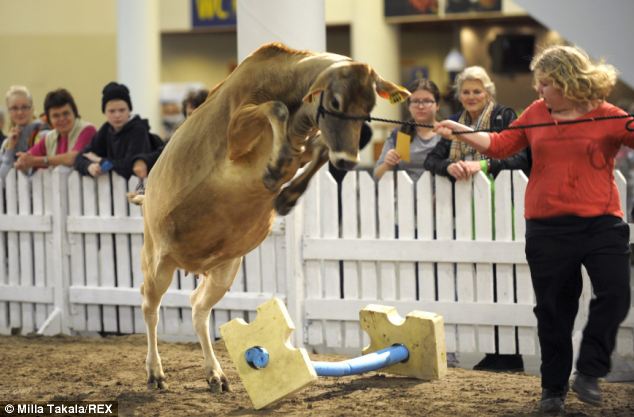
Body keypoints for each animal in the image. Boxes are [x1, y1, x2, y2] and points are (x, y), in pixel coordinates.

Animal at [136, 44, 408, 392]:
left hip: (224, 269)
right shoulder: (237, 132)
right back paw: (155, 372)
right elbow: (275, 109)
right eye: (335, 102)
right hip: (158, 258)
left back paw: (215, 374)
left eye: (370, 106)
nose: (348, 161)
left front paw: (288, 195)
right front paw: (276, 166)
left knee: (198, 308)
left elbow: (319, 149)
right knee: (150, 307)